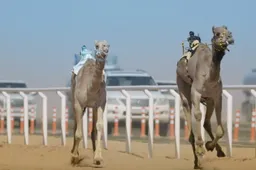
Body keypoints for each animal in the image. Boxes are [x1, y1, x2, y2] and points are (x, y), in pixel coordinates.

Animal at [176, 25, 234, 169]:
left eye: (229, 32)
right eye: (217, 33)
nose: (230, 39)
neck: (209, 76)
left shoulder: (217, 96)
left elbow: (220, 130)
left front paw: (210, 146)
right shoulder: (196, 93)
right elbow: (197, 115)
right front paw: (201, 150)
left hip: (209, 100)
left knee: (206, 123)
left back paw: (216, 151)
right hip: (182, 85)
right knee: (189, 114)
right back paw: (197, 162)